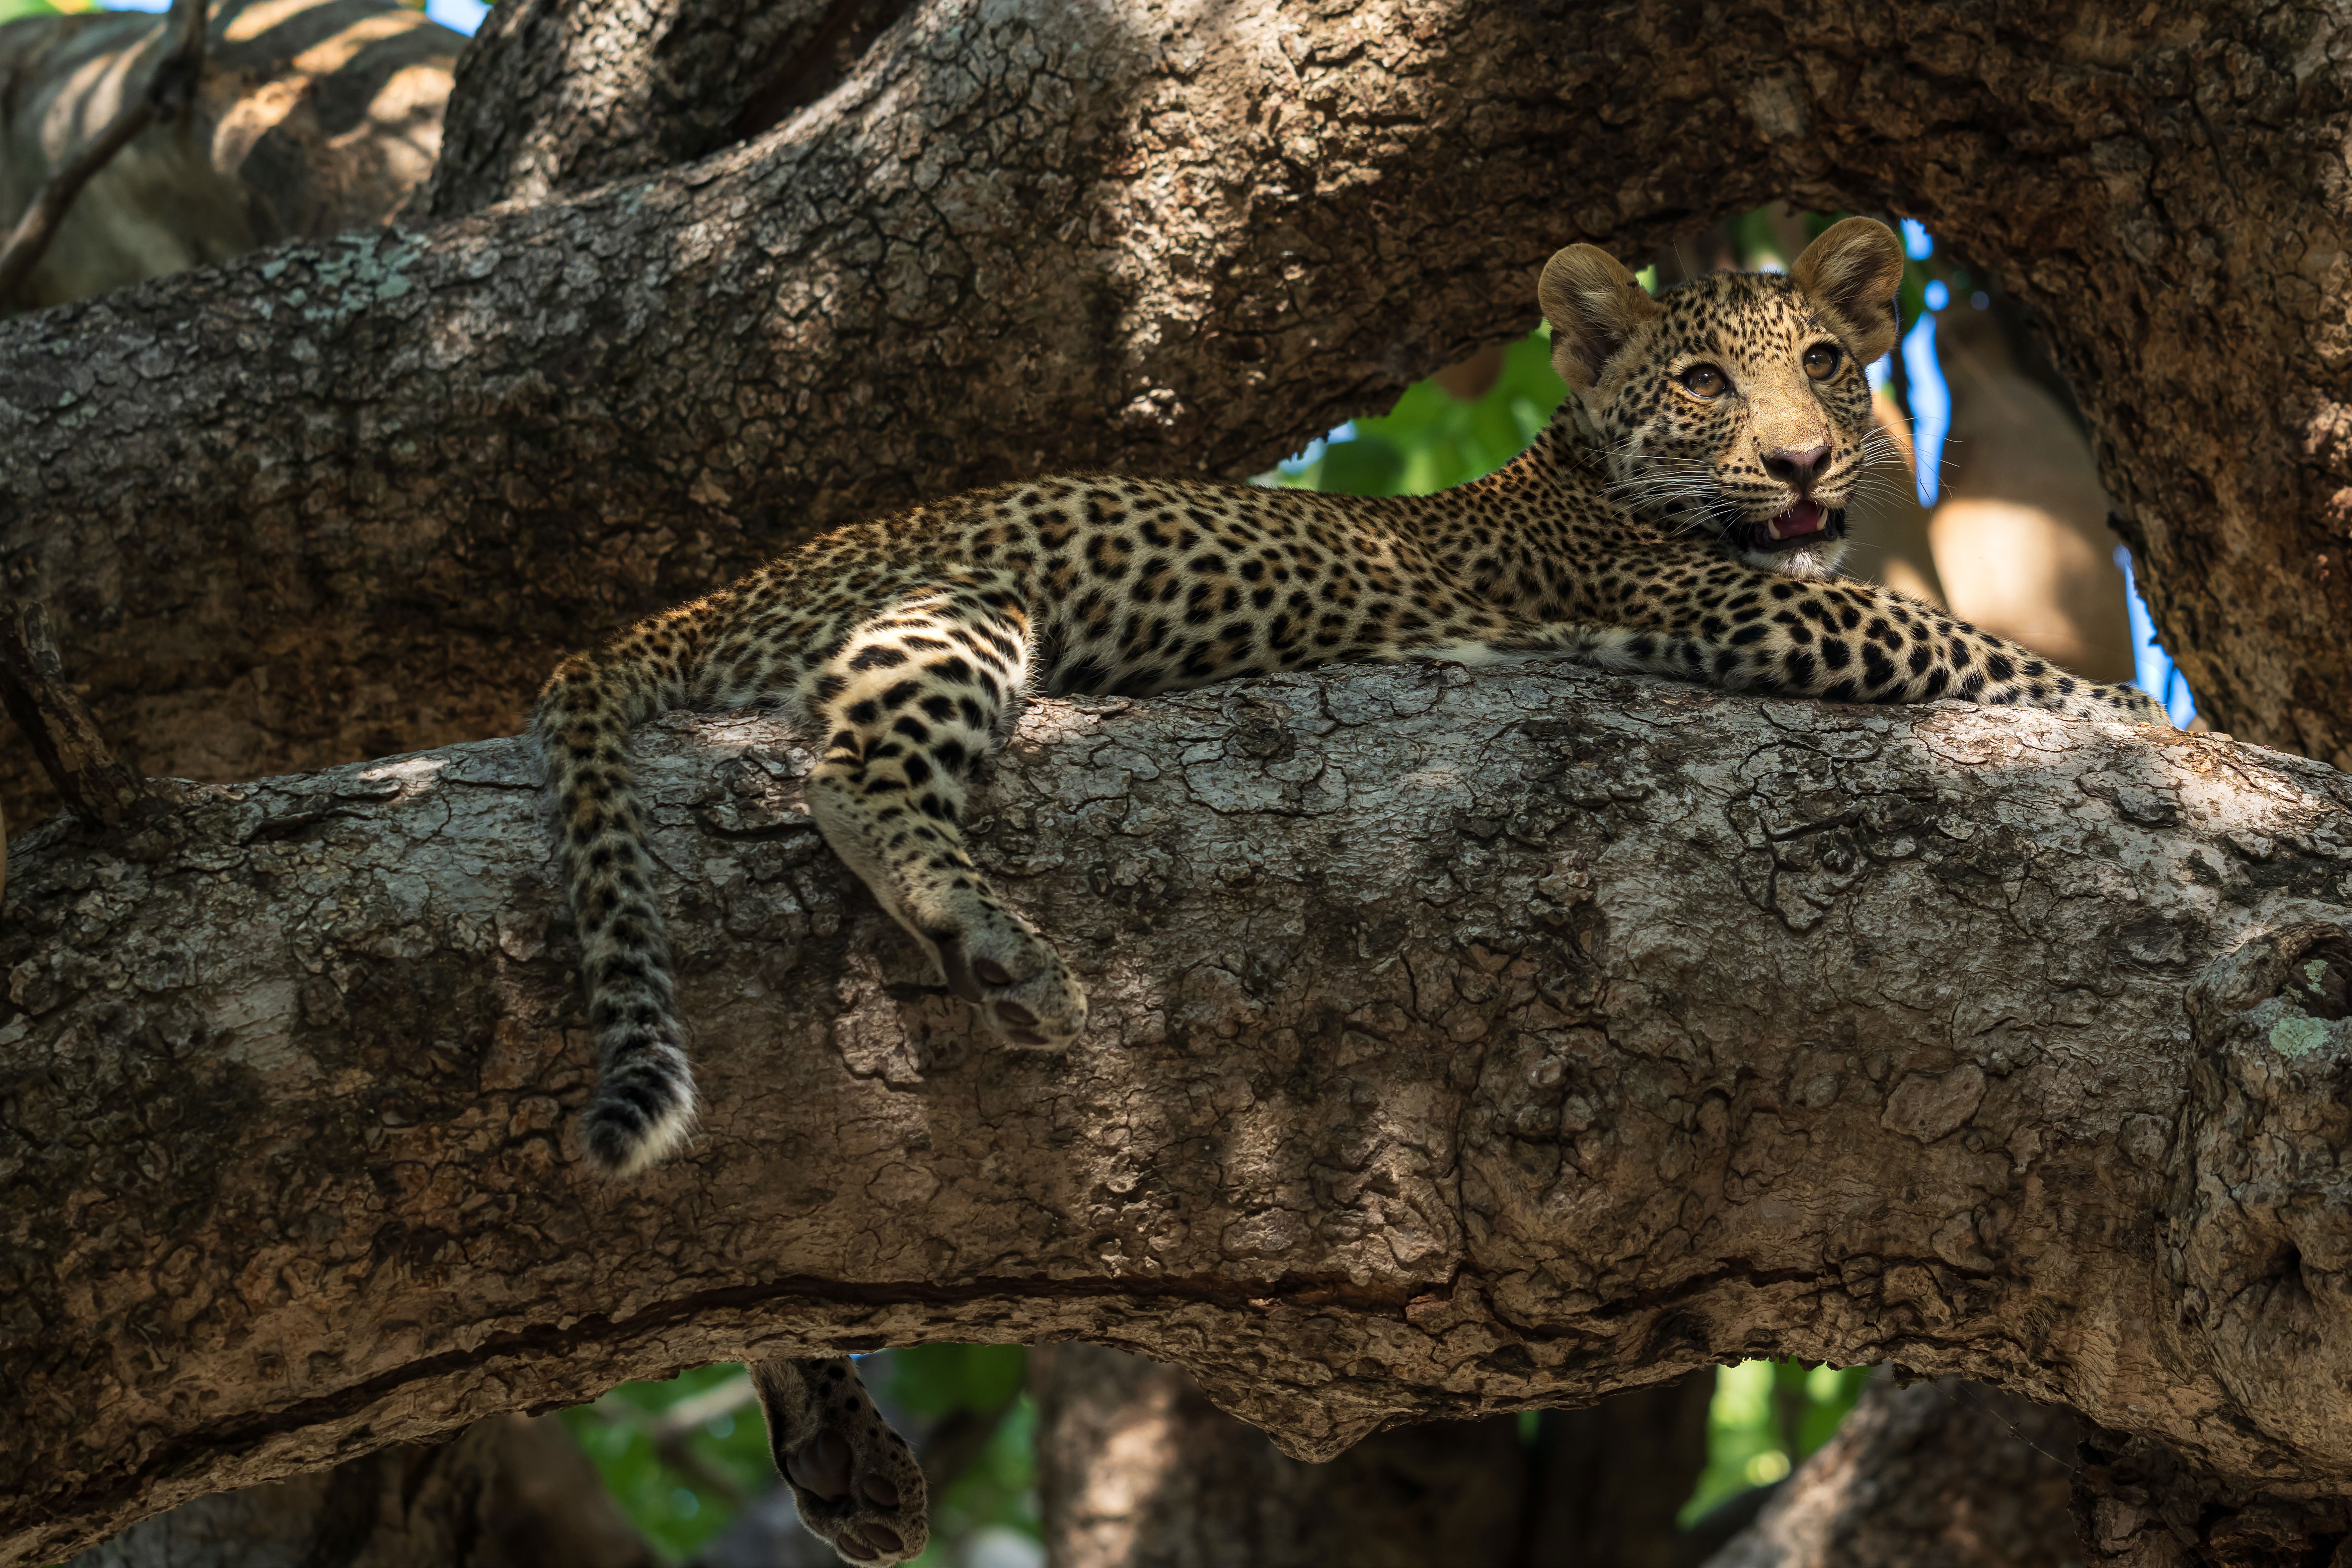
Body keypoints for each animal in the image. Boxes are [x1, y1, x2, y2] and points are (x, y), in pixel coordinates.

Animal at [530, 216, 2167, 1564]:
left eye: (1826, 365)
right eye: (1706, 381)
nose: (1801, 464)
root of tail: (713, 596)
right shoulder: (1742, 612)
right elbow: (1989, 657)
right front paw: (2186, 735)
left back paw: (838, 1444)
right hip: (954, 605)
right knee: (848, 771)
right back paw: (985, 937)